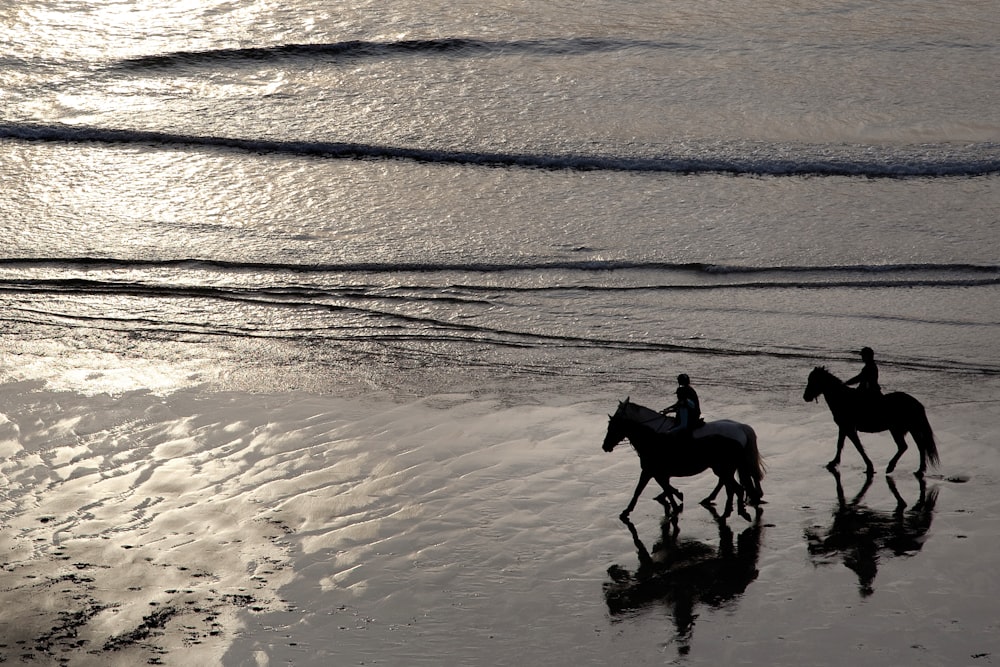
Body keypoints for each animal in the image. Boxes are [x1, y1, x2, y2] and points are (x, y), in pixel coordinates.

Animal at [600, 396, 764, 520]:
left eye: (614, 424)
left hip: (723, 467)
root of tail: (741, 427)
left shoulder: (650, 471)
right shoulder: (658, 472)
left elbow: (642, 490)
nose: (605, 446)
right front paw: (674, 498)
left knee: (733, 484)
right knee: (729, 483)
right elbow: (664, 487)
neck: (653, 437)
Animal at [800, 368, 940, 478]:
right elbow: (840, 444)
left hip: (897, 429)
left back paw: (891, 467)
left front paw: (869, 466)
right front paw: (833, 463)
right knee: (920, 446)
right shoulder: (844, 427)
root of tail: (916, 403)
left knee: (904, 446)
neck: (842, 398)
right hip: (911, 428)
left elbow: (858, 446)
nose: (805, 397)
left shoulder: (849, 427)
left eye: (813, 380)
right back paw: (919, 470)